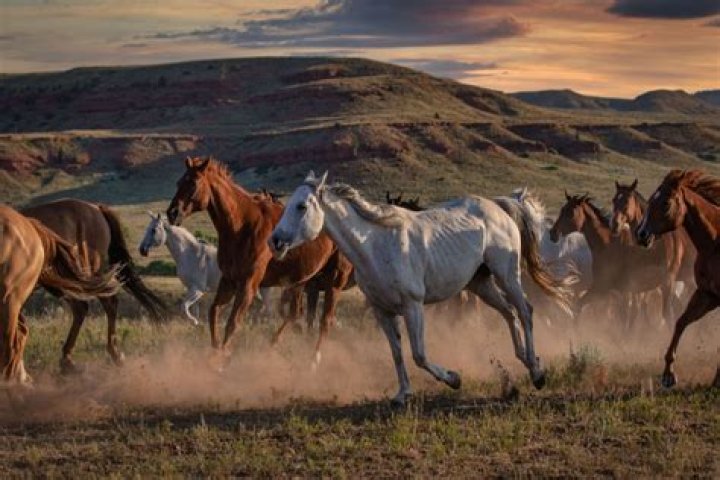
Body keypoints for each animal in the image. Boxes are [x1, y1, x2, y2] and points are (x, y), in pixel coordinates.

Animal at [165, 157, 341, 366]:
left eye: (193, 183)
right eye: (178, 183)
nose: (172, 213)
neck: (243, 226)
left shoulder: (248, 284)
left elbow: (233, 322)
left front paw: (222, 359)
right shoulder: (229, 281)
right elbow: (214, 312)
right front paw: (216, 353)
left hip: (334, 282)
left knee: (325, 320)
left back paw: (313, 360)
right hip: (302, 280)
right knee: (295, 313)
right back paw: (273, 346)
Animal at [270, 171, 573, 406]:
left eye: (301, 206)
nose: (275, 241)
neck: (376, 246)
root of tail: (500, 206)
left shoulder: (412, 306)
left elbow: (419, 354)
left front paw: (454, 379)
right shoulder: (382, 311)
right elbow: (396, 353)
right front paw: (402, 394)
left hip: (507, 275)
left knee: (525, 310)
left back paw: (537, 373)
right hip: (481, 283)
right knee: (509, 313)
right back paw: (524, 362)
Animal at [636, 169, 720, 388]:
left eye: (666, 203)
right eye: (650, 200)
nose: (641, 234)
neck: (716, 243)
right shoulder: (707, 295)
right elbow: (680, 322)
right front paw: (668, 374)